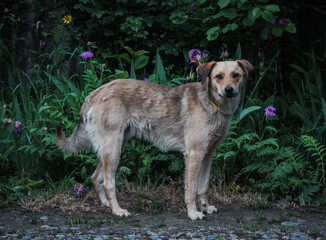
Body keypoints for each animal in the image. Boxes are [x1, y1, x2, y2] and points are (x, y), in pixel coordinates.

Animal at [55, 59, 255, 219]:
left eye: (236, 75)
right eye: (219, 76)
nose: (229, 90)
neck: (212, 104)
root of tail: (94, 94)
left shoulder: (208, 155)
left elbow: (203, 186)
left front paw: (205, 207)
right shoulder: (194, 155)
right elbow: (191, 189)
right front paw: (193, 213)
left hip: (112, 149)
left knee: (97, 178)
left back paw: (106, 205)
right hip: (113, 150)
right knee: (109, 183)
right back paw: (117, 210)